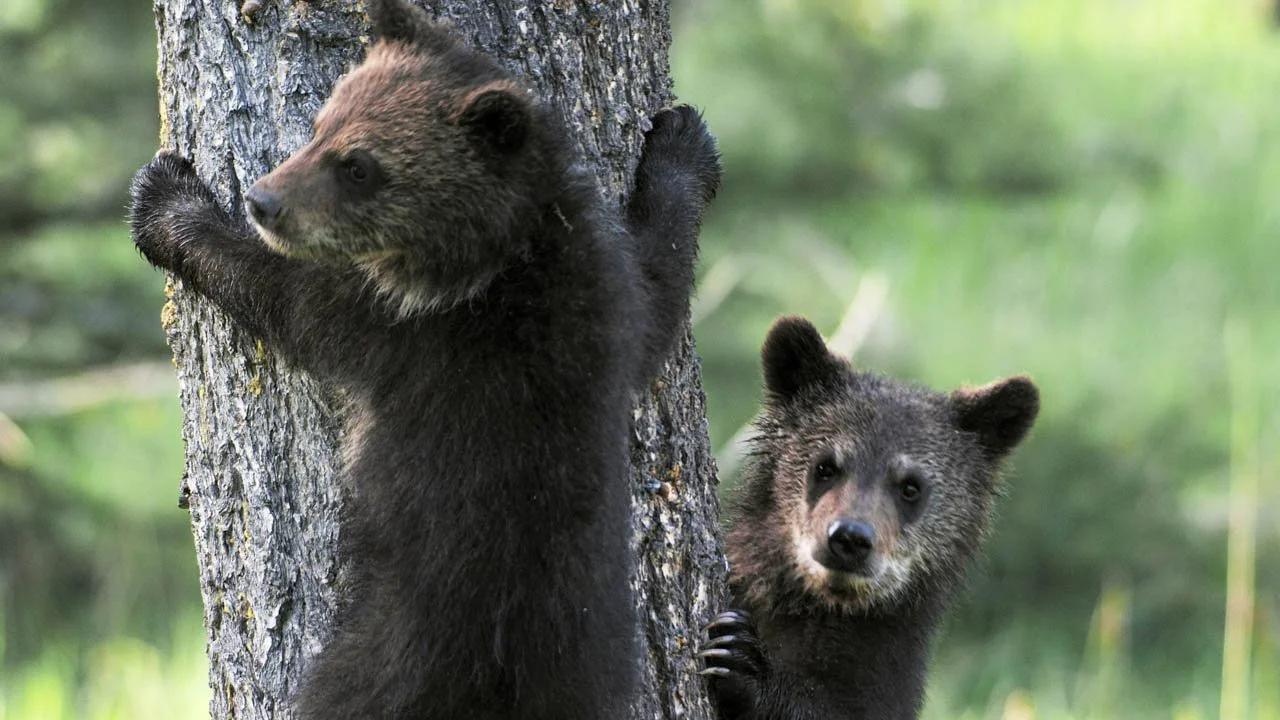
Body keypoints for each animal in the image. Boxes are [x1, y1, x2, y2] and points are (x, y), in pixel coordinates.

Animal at [128, 0, 721, 718]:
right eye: (323, 124)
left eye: (359, 165)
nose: (263, 200)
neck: (498, 253)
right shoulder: (605, 312)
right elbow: (658, 285)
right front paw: (683, 144)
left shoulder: (403, 324)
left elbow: (286, 298)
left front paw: (167, 201)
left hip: (386, 653)